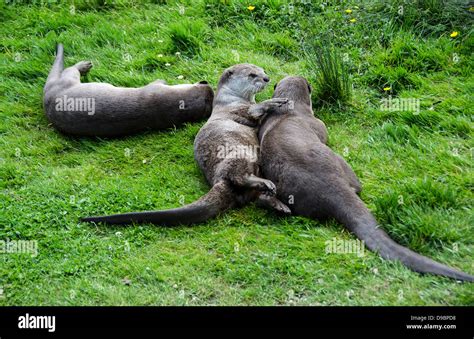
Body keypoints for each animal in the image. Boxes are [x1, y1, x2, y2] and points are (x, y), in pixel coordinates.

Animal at [81, 63, 288, 226]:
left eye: (262, 70)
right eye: (252, 74)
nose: (266, 78)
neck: (231, 100)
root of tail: (217, 179)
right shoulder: (238, 110)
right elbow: (254, 110)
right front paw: (273, 101)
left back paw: (278, 205)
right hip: (239, 155)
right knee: (238, 176)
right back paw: (266, 185)